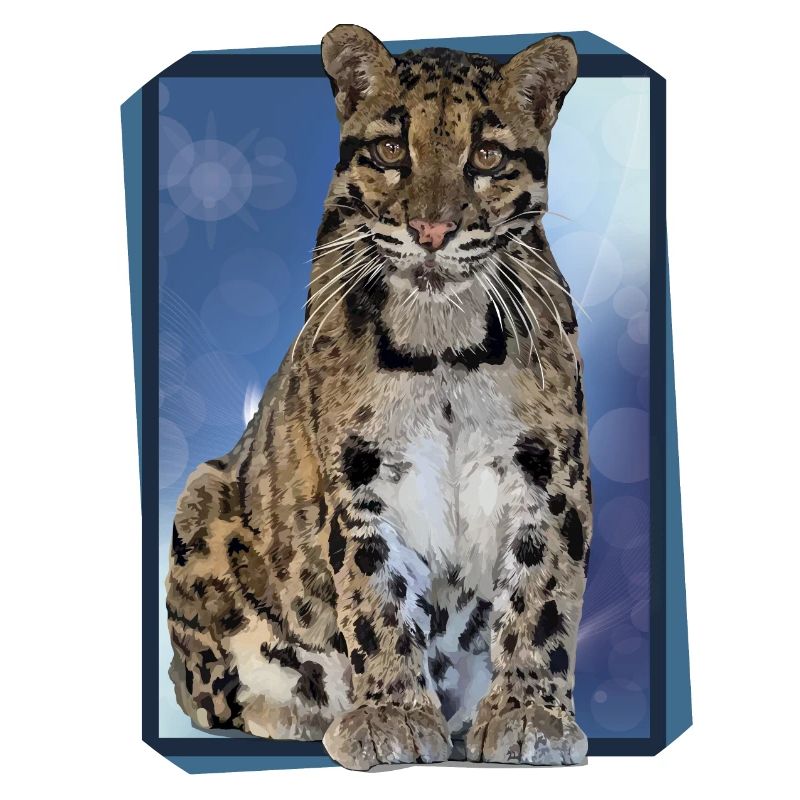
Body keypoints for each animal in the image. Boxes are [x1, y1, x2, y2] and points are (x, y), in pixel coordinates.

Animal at [166, 24, 591, 770]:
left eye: (486, 156)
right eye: (393, 149)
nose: (431, 231)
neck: (443, 343)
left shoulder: (549, 472)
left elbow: (542, 595)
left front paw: (529, 714)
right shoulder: (358, 475)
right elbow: (375, 596)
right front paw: (391, 715)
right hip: (200, 497)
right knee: (208, 692)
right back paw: (299, 710)